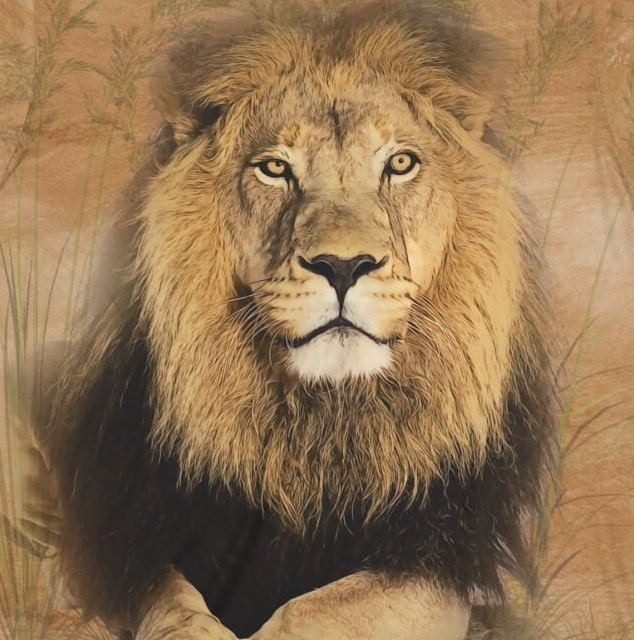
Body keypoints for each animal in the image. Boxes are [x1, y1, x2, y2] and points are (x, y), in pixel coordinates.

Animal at [39, 2, 557, 639]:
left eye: (400, 164)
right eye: (274, 168)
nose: (343, 265)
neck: (317, 424)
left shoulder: (438, 557)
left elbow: (315, 608)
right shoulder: (134, 543)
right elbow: (173, 605)